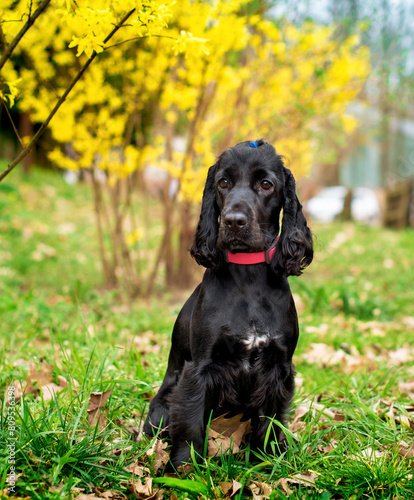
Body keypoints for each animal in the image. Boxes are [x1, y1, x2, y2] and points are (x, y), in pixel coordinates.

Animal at [144, 139, 312, 466]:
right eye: (223, 183)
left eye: (266, 184)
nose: (234, 222)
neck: (248, 277)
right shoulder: (200, 368)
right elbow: (191, 421)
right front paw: (183, 466)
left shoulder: (278, 367)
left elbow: (270, 422)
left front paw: (268, 461)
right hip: (160, 409)